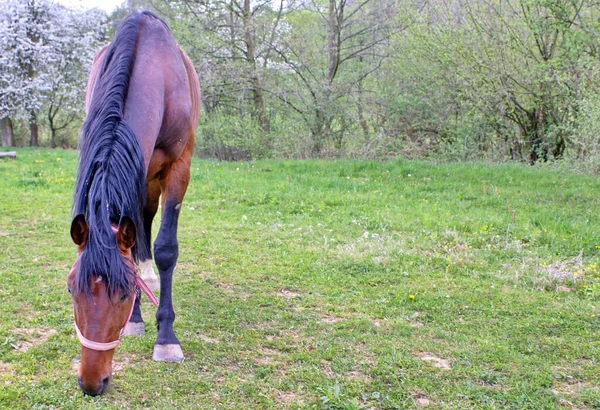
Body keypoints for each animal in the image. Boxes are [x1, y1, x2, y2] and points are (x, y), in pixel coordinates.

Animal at [67, 12, 200, 398]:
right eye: (71, 288)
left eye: (124, 292)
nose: (91, 382)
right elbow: (136, 234)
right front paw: (138, 320)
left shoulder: (178, 166)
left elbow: (166, 248)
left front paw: (166, 338)